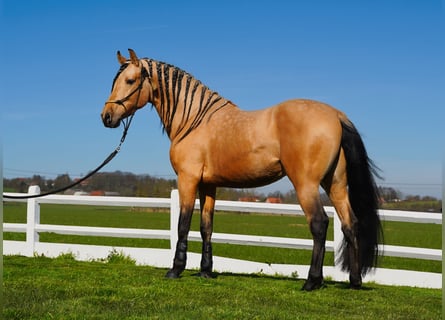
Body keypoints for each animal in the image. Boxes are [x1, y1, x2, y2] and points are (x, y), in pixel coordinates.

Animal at [100, 48, 382, 292]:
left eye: (130, 80)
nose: (106, 116)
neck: (195, 120)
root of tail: (336, 115)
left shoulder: (188, 180)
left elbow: (183, 224)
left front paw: (175, 270)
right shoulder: (208, 185)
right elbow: (206, 226)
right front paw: (206, 271)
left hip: (306, 185)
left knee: (320, 224)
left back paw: (312, 281)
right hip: (335, 184)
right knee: (350, 224)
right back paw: (354, 281)